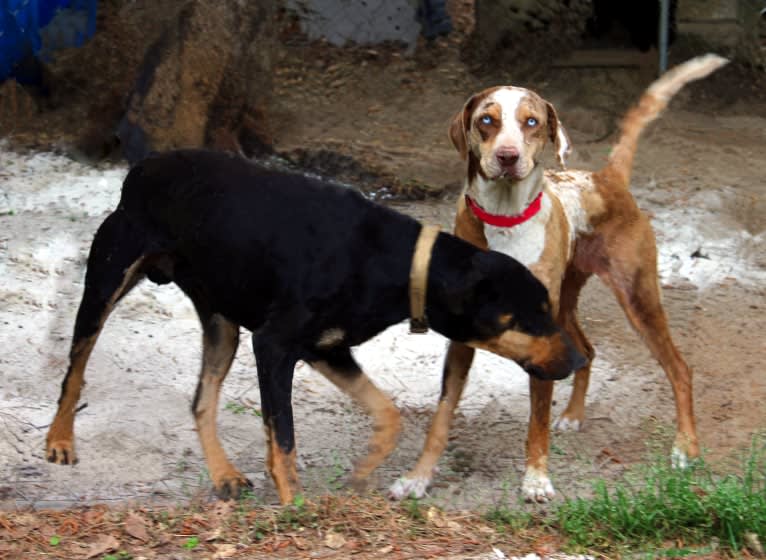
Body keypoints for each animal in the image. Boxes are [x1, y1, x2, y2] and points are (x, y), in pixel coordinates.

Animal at [45, 149, 584, 504]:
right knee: (75, 371)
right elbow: (283, 435)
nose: (579, 360)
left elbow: (387, 413)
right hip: (106, 283)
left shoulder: (325, 349)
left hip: (222, 324)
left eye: (548, 307)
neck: (394, 261)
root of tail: (141, 168)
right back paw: (59, 441)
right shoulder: (275, 345)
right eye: (529, 316)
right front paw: (293, 504)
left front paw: (362, 471)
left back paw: (224, 475)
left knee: (200, 400)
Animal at [392, 54, 728, 504]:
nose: (508, 156)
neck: (506, 219)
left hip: (638, 298)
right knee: (587, 350)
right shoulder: (462, 337)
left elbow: (537, 419)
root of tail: (606, 178)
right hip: (568, 302)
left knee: (679, 369)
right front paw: (418, 477)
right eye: (486, 120)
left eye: (532, 122)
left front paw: (536, 479)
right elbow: (441, 416)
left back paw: (685, 448)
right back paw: (573, 414)